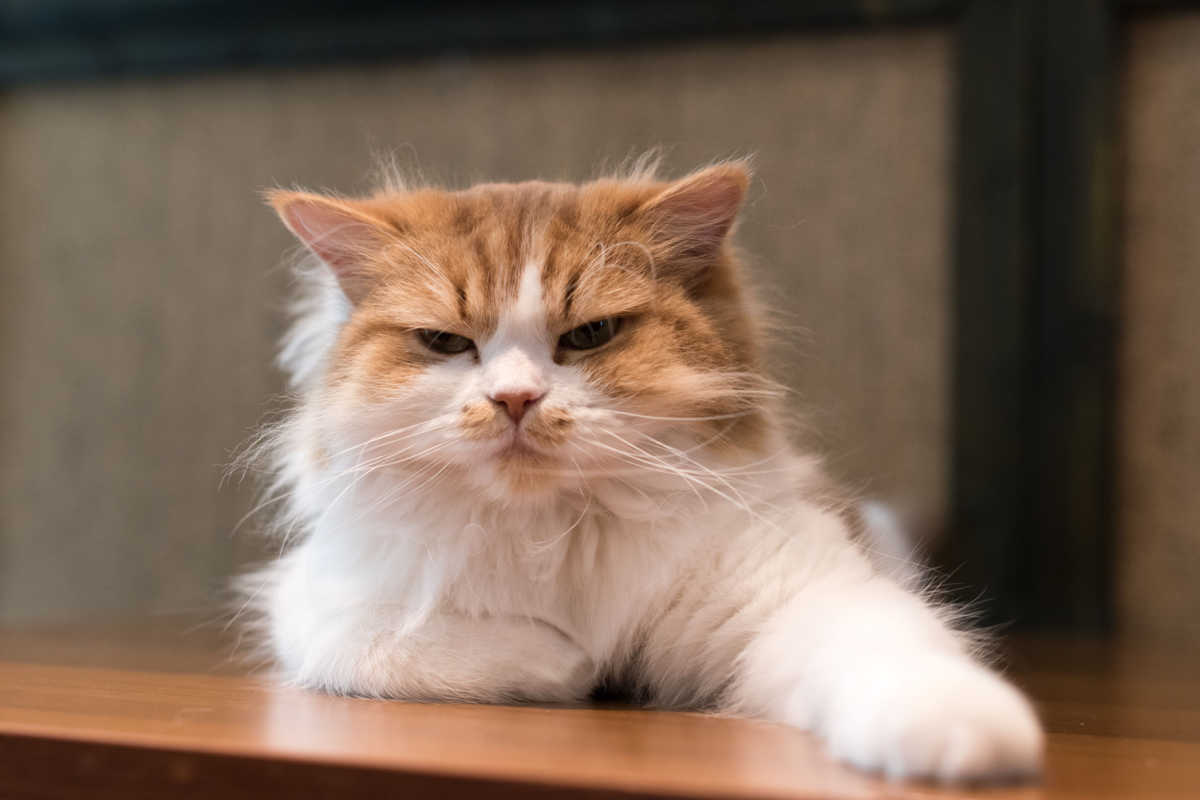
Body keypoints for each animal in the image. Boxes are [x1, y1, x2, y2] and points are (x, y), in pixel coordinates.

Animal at [243, 160, 1041, 782]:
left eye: (591, 334)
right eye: (444, 342)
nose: (514, 400)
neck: (557, 531)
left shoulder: (802, 591)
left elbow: (891, 650)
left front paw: (969, 736)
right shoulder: (313, 602)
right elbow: (388, 645)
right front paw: (572, 665)